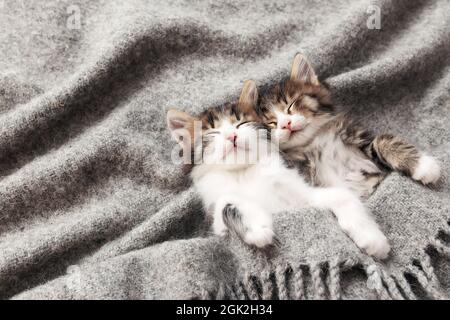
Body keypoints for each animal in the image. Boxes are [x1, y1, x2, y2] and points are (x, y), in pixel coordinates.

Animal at [167, 80, 392, 260]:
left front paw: (372, 239)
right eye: (212, 132)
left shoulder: (304, 194)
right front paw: (256, 228)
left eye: (242, 123)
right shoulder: (216, 221)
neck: (242, 172)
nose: (232, 136)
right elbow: (226, 203)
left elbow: (342, 197)